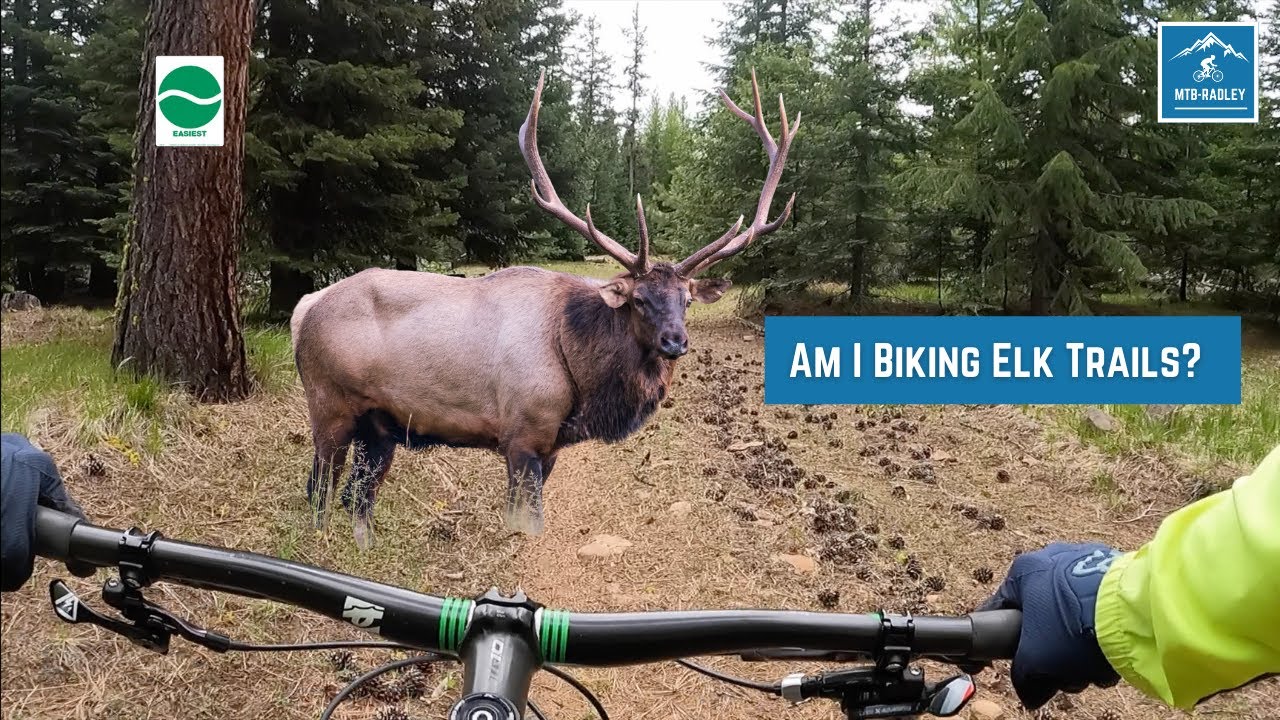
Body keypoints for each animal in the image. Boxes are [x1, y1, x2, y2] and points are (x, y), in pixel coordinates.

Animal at [291, 69, 799, 548]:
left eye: (687, 299)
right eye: (638, 300)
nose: (676, 342)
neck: (583, 381)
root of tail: (304, 308)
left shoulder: (550, 446)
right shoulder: (521, 435)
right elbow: (525, 521)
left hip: (379, 426)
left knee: (358, 496)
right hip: (329, 403)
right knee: (319, 490)